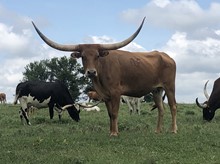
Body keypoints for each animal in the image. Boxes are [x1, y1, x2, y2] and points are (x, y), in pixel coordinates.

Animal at [32, 17, 177, 136]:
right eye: (83, 56)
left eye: (97, 56)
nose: (91, 72)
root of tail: (167, 56)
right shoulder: (105, 95)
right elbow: (109, 114)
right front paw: (111, 131)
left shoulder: (116, 93)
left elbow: (115, 112)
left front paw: (115, 133)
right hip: (156, 90)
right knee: (161, 109)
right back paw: (158, 130)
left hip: (170, 87)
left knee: (173, 106)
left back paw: (173, 129)